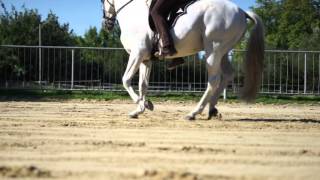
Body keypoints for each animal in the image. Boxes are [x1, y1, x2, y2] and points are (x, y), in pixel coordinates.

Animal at [102, 0, 264, 121]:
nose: (107, 24)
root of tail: (241, 11)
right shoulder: (145, 59)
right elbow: (143, 85)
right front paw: (140, 108)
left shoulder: (137, 53)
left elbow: (126, 80)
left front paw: (143, 105)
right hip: (223, 52)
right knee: (228, 75)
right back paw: (212, 110)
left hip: (213, 50)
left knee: (214, 80)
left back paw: (193, 113)